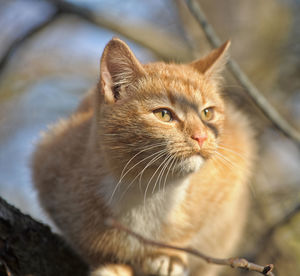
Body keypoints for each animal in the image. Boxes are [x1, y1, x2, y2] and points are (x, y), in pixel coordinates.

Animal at [33, 37, 258, 276]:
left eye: (207, 113)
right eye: (164, 114)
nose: (201, 137)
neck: (146, 189)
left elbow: (190, 232)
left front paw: (168, 254)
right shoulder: (47, 165)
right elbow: (87, 244)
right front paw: (112, 265)